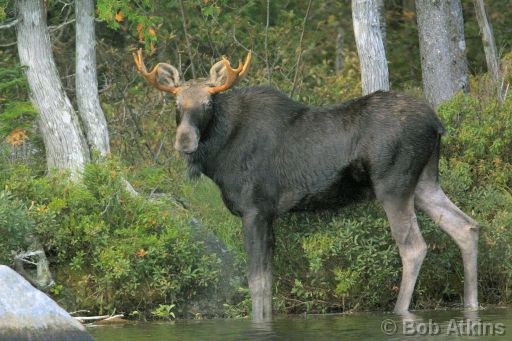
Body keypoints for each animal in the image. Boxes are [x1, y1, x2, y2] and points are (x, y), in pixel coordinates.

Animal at [133, 49, 480, 320]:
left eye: (207, 104)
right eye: (176, 105)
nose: (184, 141)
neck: (219, 156)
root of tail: (436, 123)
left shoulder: (254, 210)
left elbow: (256, 282)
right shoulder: (269, 216)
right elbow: (268, 282)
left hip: (393, 184)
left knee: (414, 246)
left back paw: (400, 311)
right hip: (424, 182)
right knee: (466, 226)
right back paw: (471, 306)